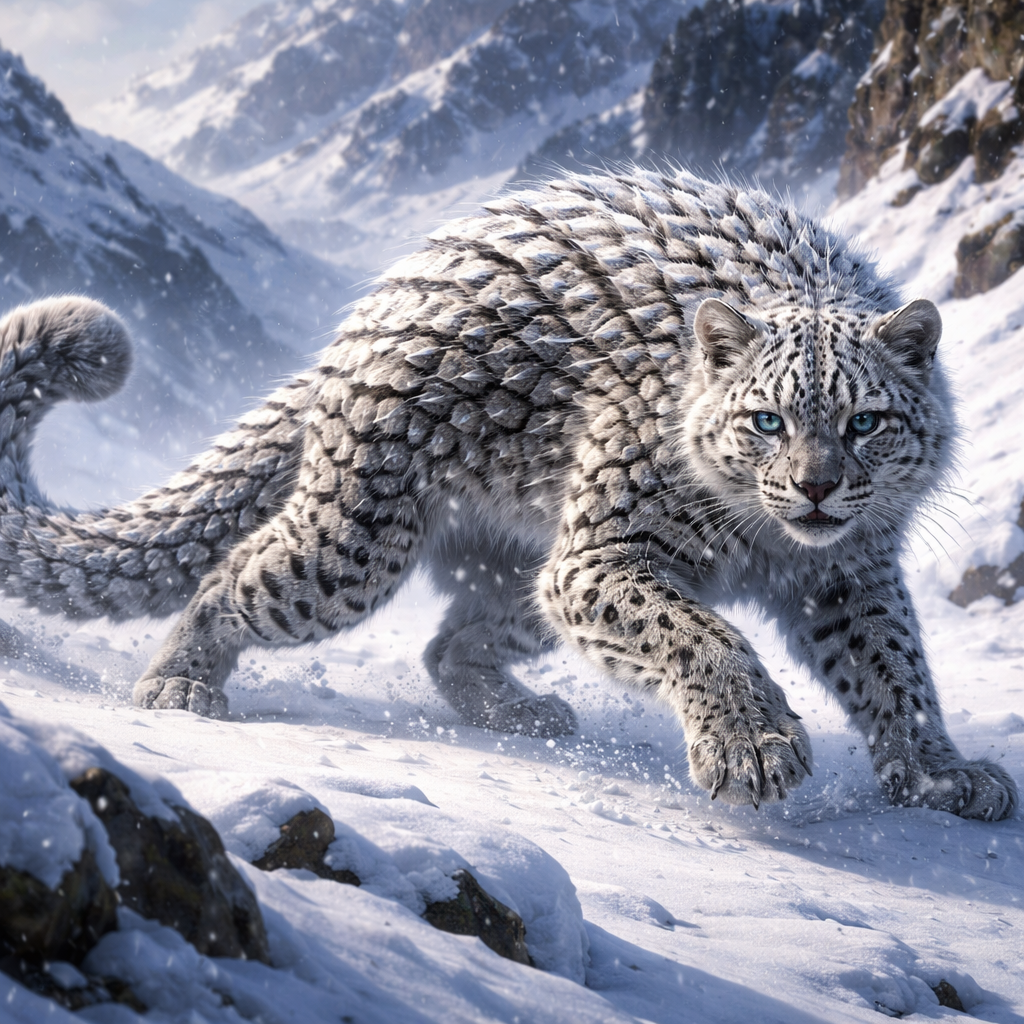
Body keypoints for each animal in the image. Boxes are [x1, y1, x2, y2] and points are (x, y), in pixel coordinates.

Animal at [0, 169, 1016, 820]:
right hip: (355, 550)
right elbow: (703, 633)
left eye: (864, 421)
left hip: (519, 578)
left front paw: (941, 774)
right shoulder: (604, 555)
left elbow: (896, 669)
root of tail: (369, 319)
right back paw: (179, 681)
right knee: (237, 575)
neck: (771, 545)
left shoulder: (851, 576)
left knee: (452, 642)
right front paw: (751, 746)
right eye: (766, 419)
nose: (814, 488)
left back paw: (526, 713)